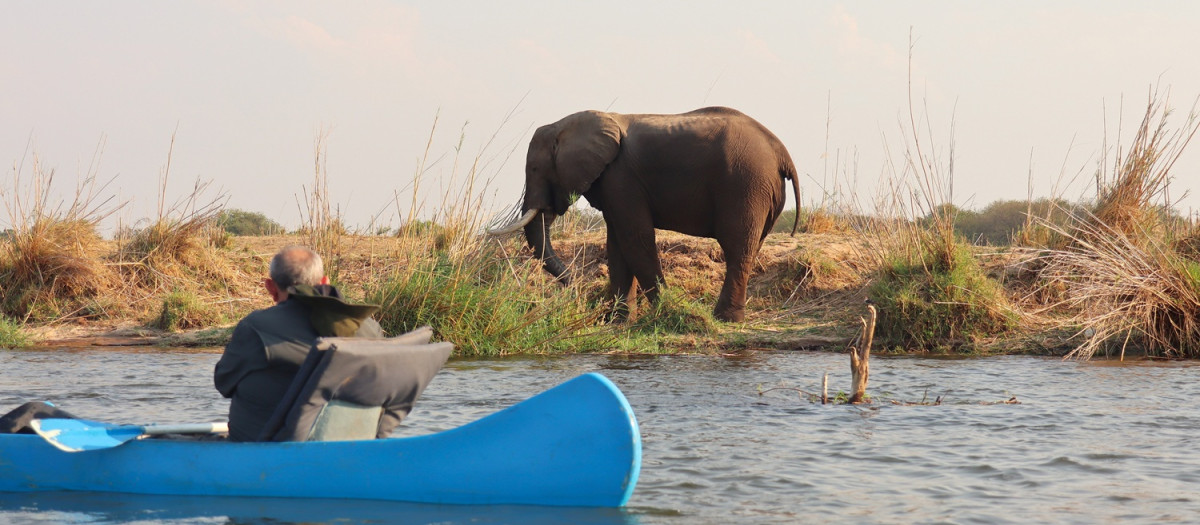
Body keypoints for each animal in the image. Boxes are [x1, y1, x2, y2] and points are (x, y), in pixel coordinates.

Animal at [488, 106, 800, 322]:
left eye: (534, 169)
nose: (575, 289)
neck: (566, 124)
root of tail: (782, 152)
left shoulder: (620, 177)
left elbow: (634, 239)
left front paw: (666, 311)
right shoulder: (613, 183)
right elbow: (616, 244)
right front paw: (619, 321)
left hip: (745, 184)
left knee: (737, 248)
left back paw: (724, 319)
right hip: (760, 191)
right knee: (751, 247)